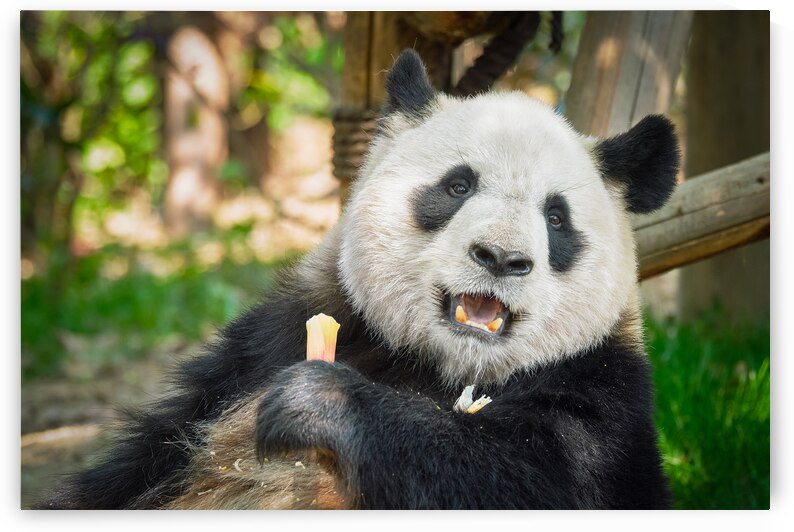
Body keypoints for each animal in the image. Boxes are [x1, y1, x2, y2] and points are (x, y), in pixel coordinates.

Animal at [40, 49, 680, 510]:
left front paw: (320, 402)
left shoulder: (601, 397)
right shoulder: (271, 342)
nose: (500, 257)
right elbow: (139, 465)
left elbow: (527, 477)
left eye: (556, 218)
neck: (445, 368)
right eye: (458, 186)